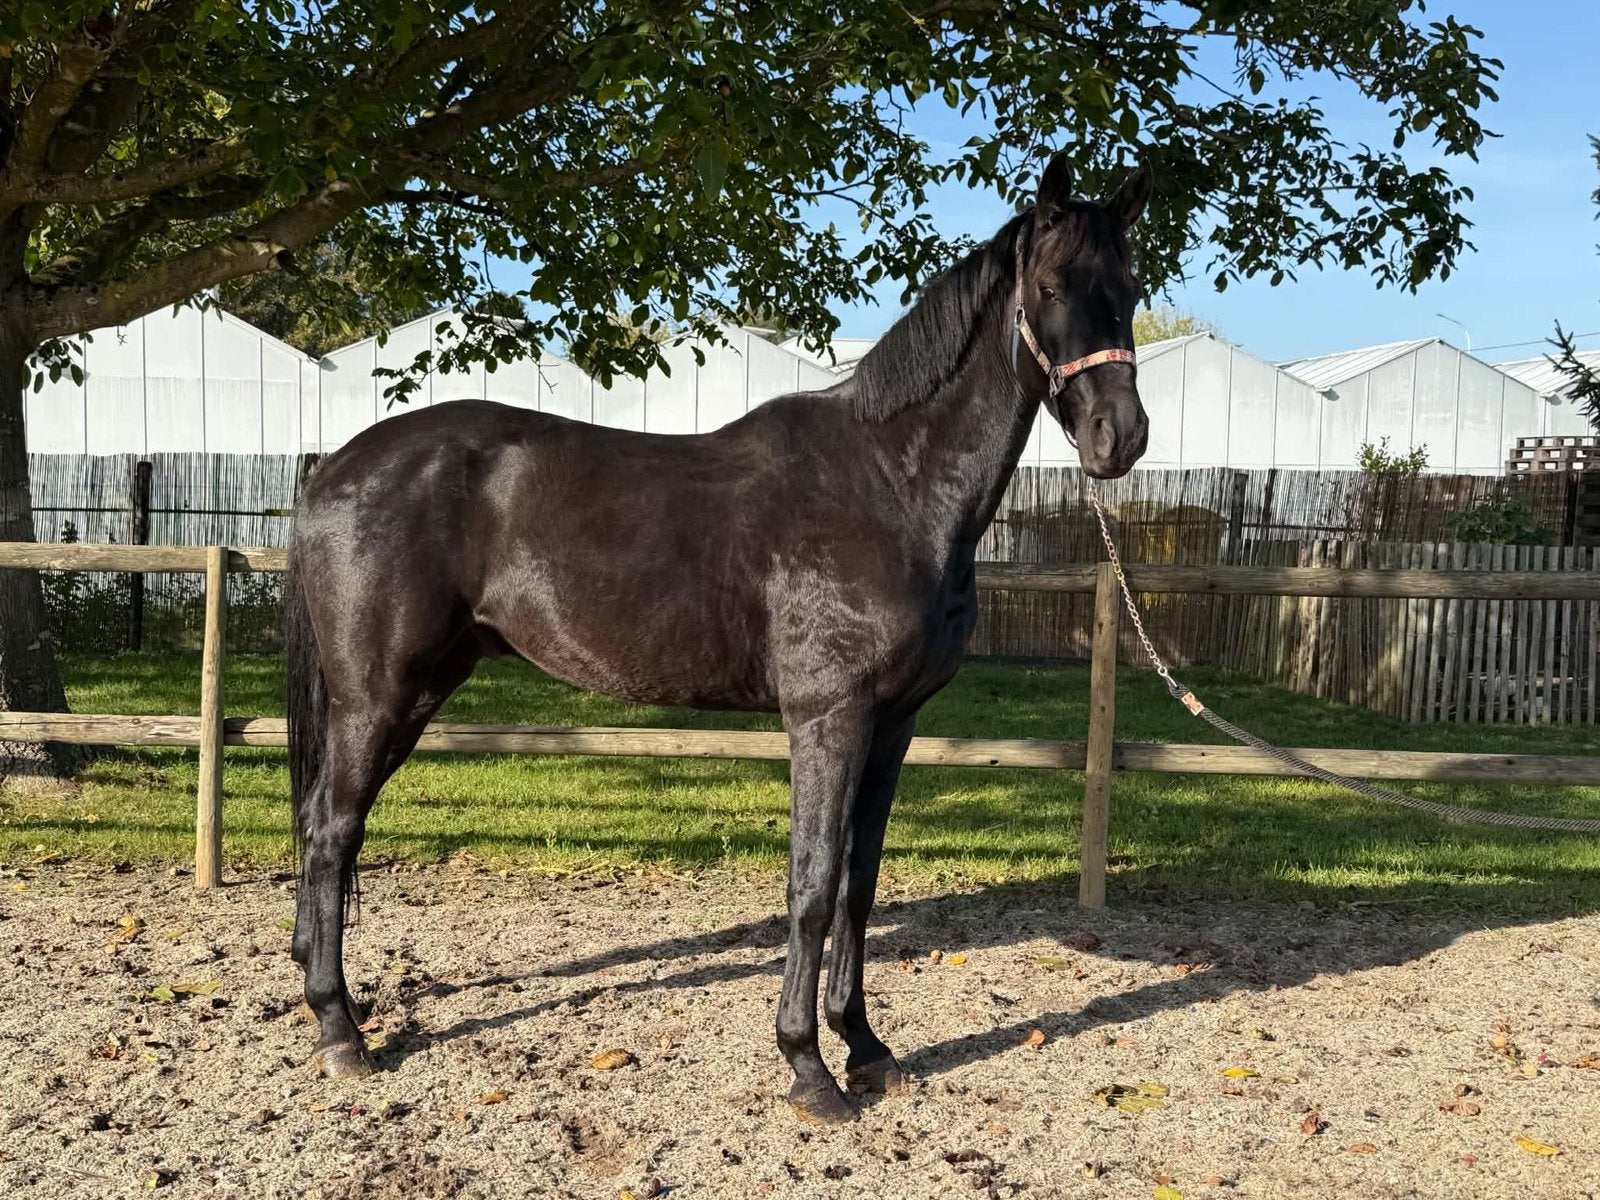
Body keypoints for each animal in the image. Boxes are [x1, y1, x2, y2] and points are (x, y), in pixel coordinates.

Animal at [284, 150, 1152, 1124]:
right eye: (1050, 287)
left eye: (1130, 288)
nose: (1121, 436)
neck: (891, 481)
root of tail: (332, 469)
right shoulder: (828, 718)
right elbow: (812, 886)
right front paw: (808, 1067)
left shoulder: (893, 726)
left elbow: (859, 884)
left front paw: (866, 1047)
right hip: (378, 697)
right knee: (330, 832)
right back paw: (340, 1031)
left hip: (422, 686)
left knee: (325, 827)